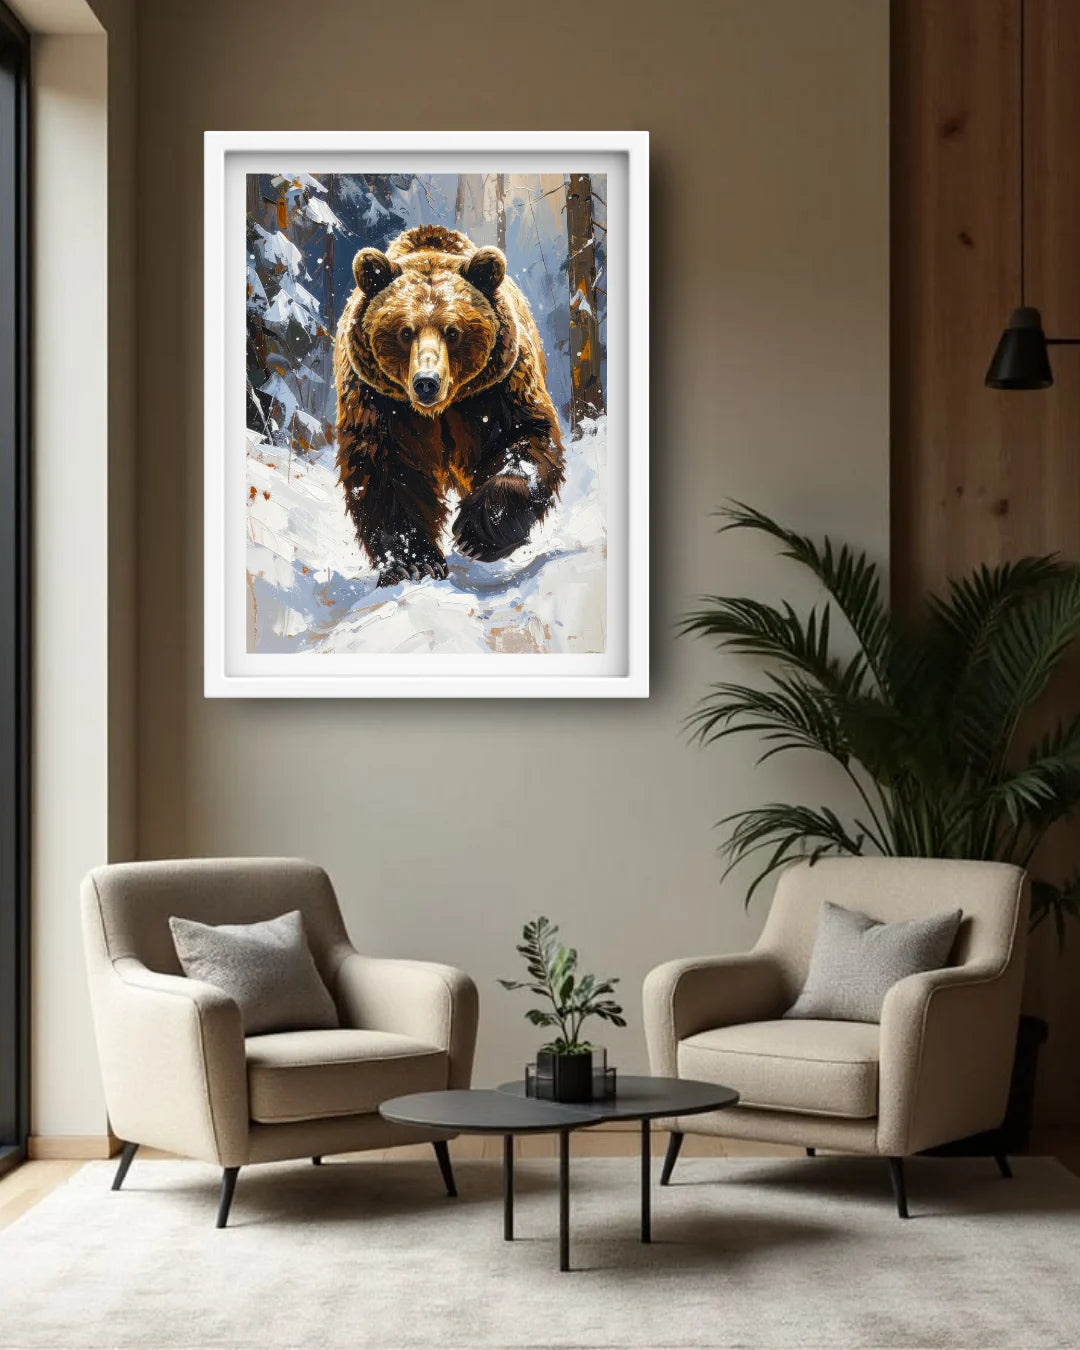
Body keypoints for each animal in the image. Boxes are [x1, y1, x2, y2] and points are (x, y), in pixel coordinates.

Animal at [333, 224, 566, 587]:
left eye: (453, 331)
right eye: (405, 332)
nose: (426, 381)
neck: (440, 409)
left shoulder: (496, 388)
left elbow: (525, 437)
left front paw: (475, 533)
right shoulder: (379, 401)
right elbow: (385, 469)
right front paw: (413, 563)